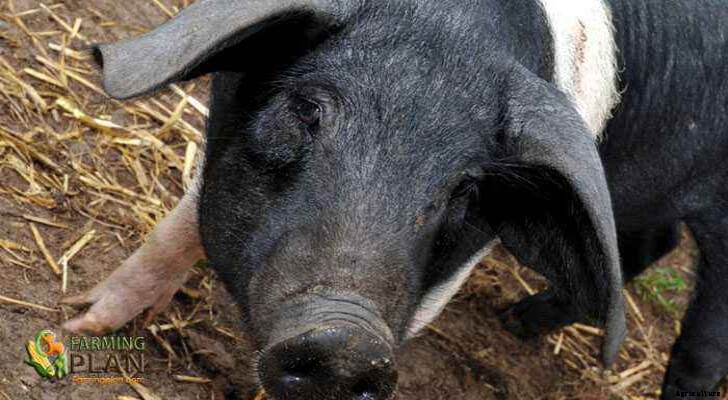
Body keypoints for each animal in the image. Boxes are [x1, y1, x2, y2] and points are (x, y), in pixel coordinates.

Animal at [63, 0, 728, 399]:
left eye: (466, 185)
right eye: (305, 110)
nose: (348, 337)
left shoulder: (450, 270)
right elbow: (176, 231)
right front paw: (83, 320)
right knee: (652, 242)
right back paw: (515, 322)